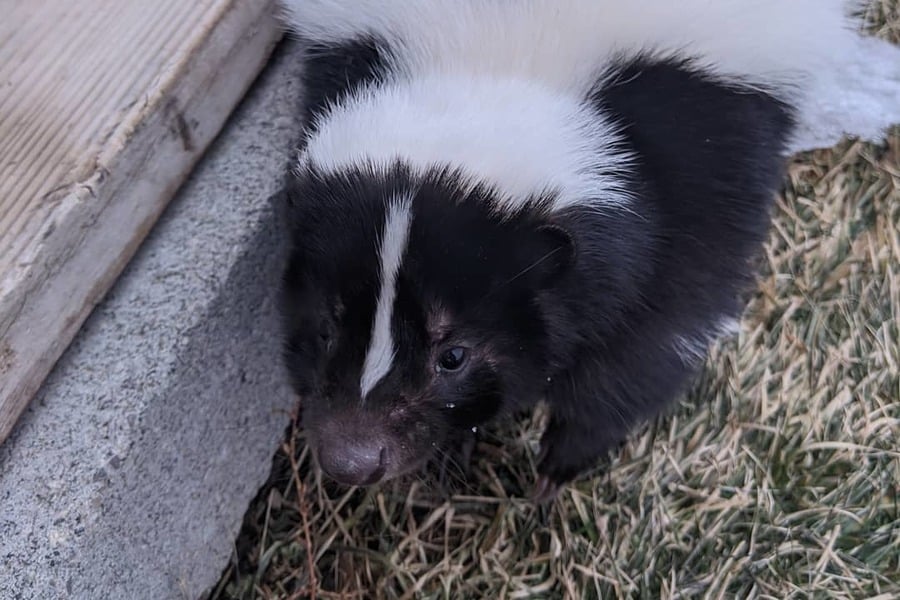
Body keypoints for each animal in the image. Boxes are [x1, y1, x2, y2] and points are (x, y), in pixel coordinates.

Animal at [274, 0, 900, 502]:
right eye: (327, 327)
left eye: (453, 355)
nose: (352, 460)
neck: (501, 65)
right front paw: (457, 450)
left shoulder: (702, 150)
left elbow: (660, 331)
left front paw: (561, 462)